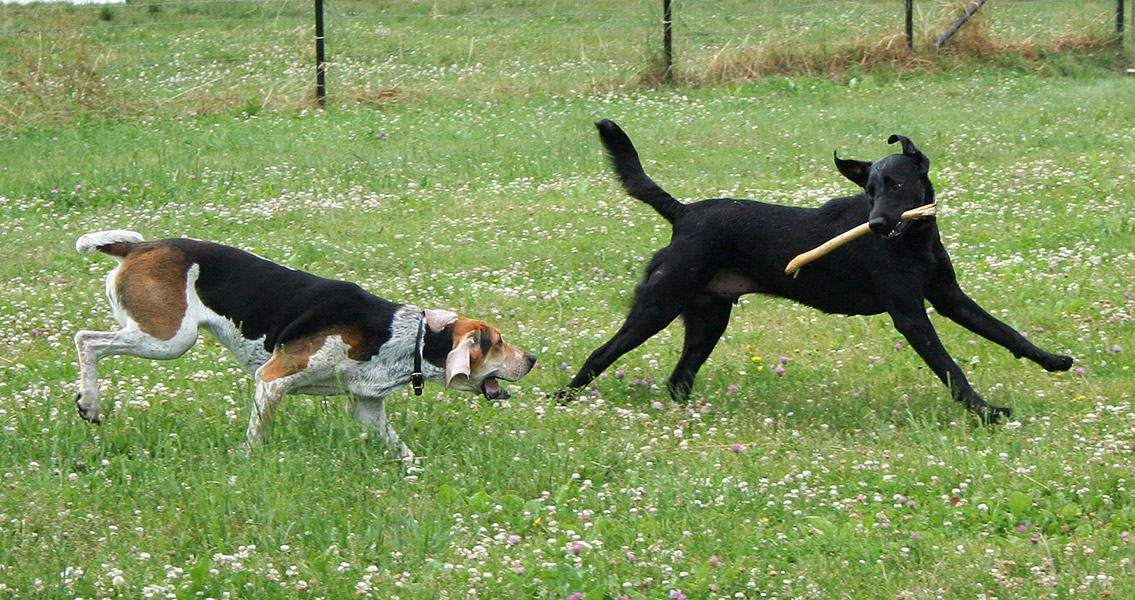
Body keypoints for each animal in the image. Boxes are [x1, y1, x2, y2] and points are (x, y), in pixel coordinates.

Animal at [74, 231, 535, 460]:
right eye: (498, 343)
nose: (532, 358)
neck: (406, 337)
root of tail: (137, 246)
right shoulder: (273, 380)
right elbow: (257, 437)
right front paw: (249, 464)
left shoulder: (368, 409)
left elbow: (403, 450)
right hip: (169, 339)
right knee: (87, 341)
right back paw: (89, 402)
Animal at [560, 119, 1071, 421]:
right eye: (869, 190)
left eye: (896, 184)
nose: (876, 223)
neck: (914, 240)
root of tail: (683, 213)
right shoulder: (910, 314)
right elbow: (950, 369)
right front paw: (985, 412)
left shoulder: (949, 298)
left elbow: (1005, 332)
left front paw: (1052, 360)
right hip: (659, 304)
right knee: (600, 355)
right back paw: (559, 400)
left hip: (708, 317)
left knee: (677, 379)